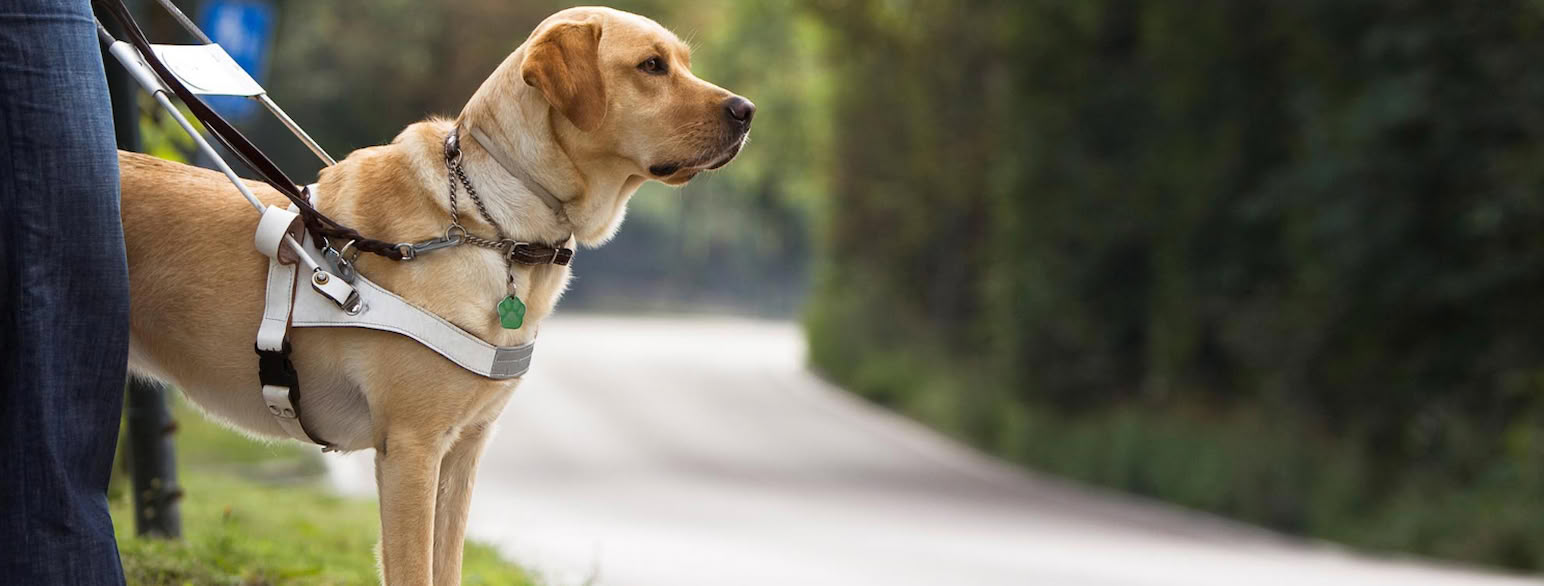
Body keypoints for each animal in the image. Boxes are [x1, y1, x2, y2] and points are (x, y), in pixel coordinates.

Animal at [115, 5, 753, 586]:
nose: (746, 111)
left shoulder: (462, 452)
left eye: (684, 62)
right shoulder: (411, 448)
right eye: (652, 66)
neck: (493, 224)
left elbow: (446, 568)